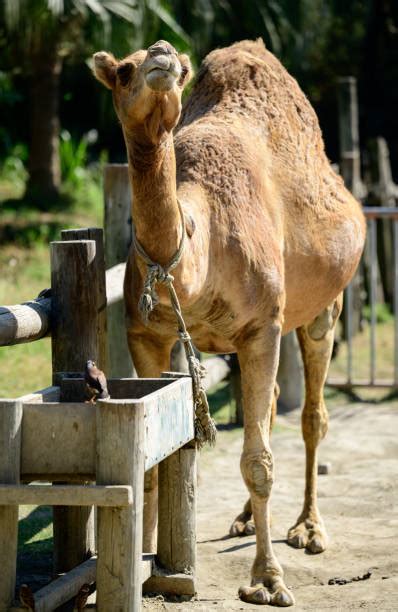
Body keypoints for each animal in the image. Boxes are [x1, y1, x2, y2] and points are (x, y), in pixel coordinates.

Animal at [92, 39, 364, 608]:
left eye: (180, 67)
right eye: (123, 70)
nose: (161, 53)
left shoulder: (262, 326)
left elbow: (259, 462)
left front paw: (268, 580)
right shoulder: (146, 334)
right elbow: (155, 456)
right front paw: (147, 567)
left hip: (324, 303)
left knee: (311, 416)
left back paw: (308, 529)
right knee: (266, 411)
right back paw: (245, 520)